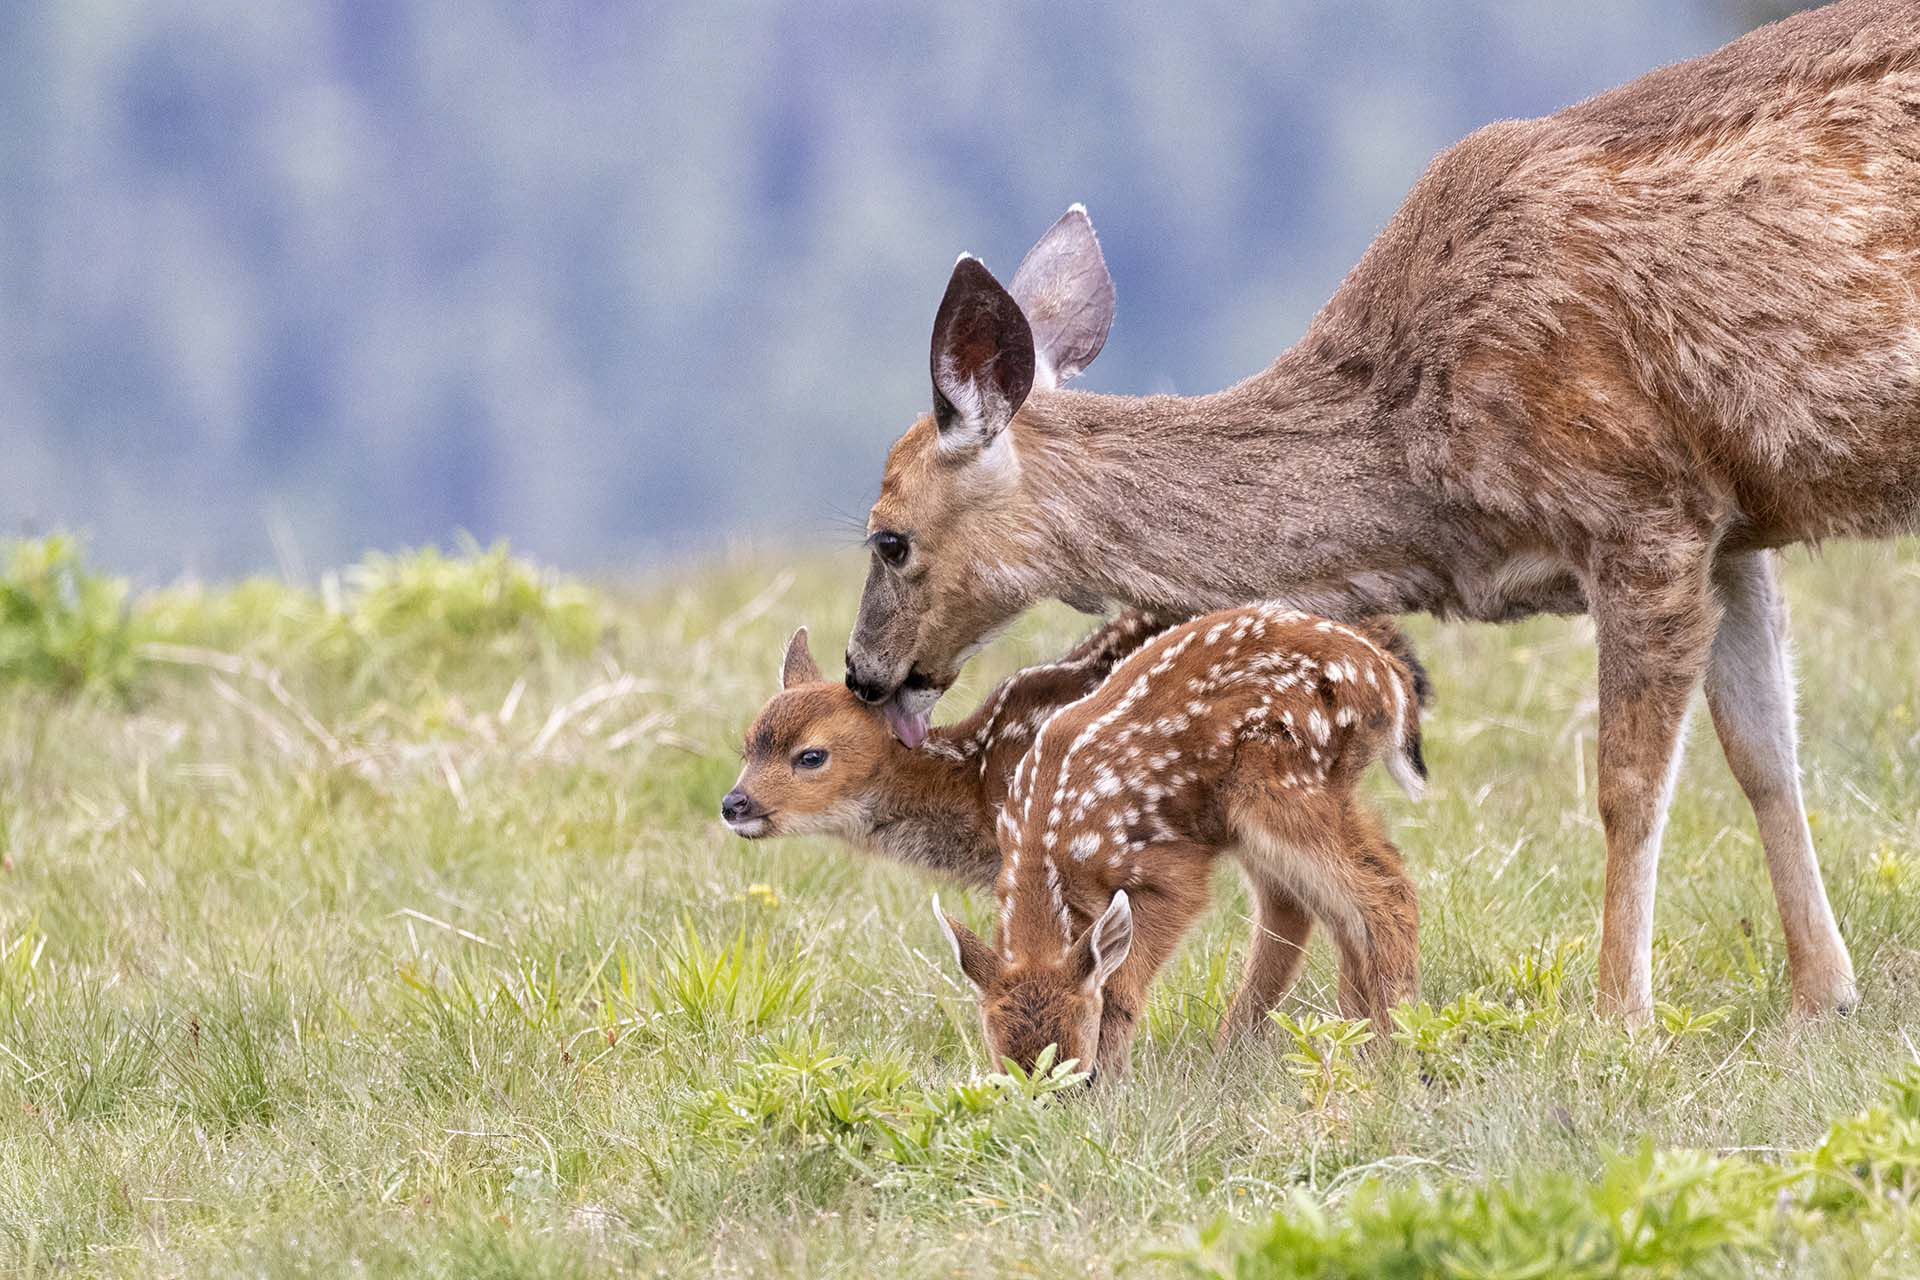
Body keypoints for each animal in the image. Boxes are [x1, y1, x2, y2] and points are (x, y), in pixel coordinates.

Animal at [845, 0, 1920, 1025]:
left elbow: (1626, 788)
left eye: (888, 536)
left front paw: (1621, 1015)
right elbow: (1765, 751)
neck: (1422, 463)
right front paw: (1821, 997)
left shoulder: (1640, 505)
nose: (863, 673)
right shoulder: (1732, 524)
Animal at [934, 604, 1429, 1081]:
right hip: (1259, 812)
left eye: (1077, 1060)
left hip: (1281, 781)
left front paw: (1112, 1080)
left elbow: (1122, 987)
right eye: (1003, 1074)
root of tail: (1387, 676)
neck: (1048, 845)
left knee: (1383, 893)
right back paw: (1327, 1041)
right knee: (1319, 908)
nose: (1056, 1102)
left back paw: (1388, 1049)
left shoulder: (1168, 869)